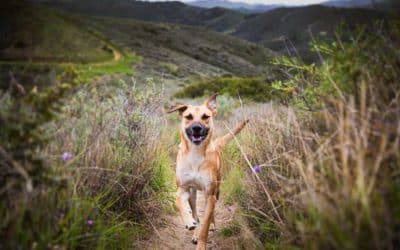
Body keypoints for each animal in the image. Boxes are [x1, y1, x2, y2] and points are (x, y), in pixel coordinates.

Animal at [167, 94, 248, 250]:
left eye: (205, 116)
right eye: (188, 116)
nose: (197, 128)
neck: (195, 153)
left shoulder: (210, 194)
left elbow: (205, 224)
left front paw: (201, 243)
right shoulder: (183, 188)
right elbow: (178, 202)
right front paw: (189, 223)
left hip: (216, 191)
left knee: (210, 214)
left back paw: (211, 225)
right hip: (193, 195)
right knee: (196, 213)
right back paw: (194, 229)